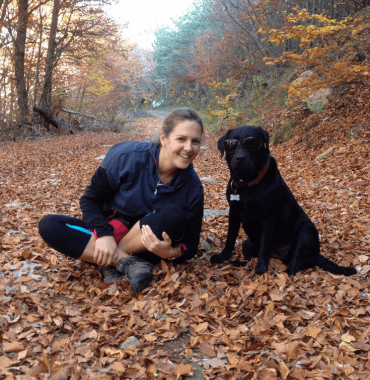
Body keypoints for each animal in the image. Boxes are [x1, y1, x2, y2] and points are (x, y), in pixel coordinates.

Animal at [210, 125, 356, 276]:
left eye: (252, 144)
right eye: (230, 145)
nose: (240, 158)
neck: (247, 185)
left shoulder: (268, 218)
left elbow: (264, 247)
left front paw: (261, 269)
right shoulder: (233, 213)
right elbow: (230, 238)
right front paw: (222, 257)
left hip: (306, 231)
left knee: (293, 266)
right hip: (247, 244)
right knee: (249, 260)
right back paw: (234, 264)